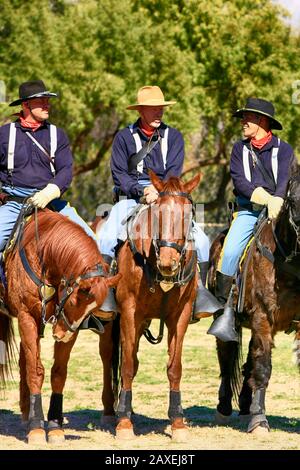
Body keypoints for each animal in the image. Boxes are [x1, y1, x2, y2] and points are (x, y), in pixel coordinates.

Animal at [0, 209, 119, 444]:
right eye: (74, 301)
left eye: (92, 310)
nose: (60, 334)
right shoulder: (27, 317)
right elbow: (36, 371)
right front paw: (37, 429)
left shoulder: (69, 327)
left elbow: (58, 372)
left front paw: (54, 426)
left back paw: (26, 414)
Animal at [113, 172, 200, 440]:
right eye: (158, 214)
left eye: (188, 216)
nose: (168, 263)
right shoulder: (129, 313)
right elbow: (127, 366)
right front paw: (124, 423)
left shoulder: (180, 316)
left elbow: (175, 367)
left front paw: (178, 422)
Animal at [207, 168, 300, 434]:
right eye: (292, 201)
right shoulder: (262, 318)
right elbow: (263, 367)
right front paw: (260, 420)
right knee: (227, 359)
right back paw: (225, 407)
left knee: (248, 359)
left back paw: (246, 405)